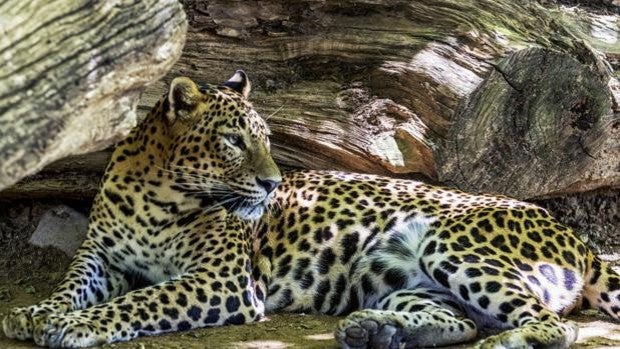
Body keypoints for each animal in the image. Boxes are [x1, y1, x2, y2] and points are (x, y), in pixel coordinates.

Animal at [4, 70, 620, 348]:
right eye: (233, 140)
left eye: (265, 139)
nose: (274, 183)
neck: (156, 194)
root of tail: (581, 242)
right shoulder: (101, 257)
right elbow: (72, 283)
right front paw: (36, 313)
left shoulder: (223, 282)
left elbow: (142, 300)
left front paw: (76, 325)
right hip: (401, 277)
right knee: (462, 319)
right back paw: (377, 330)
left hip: (450, 242)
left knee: (550, 328)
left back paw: (501, 340)